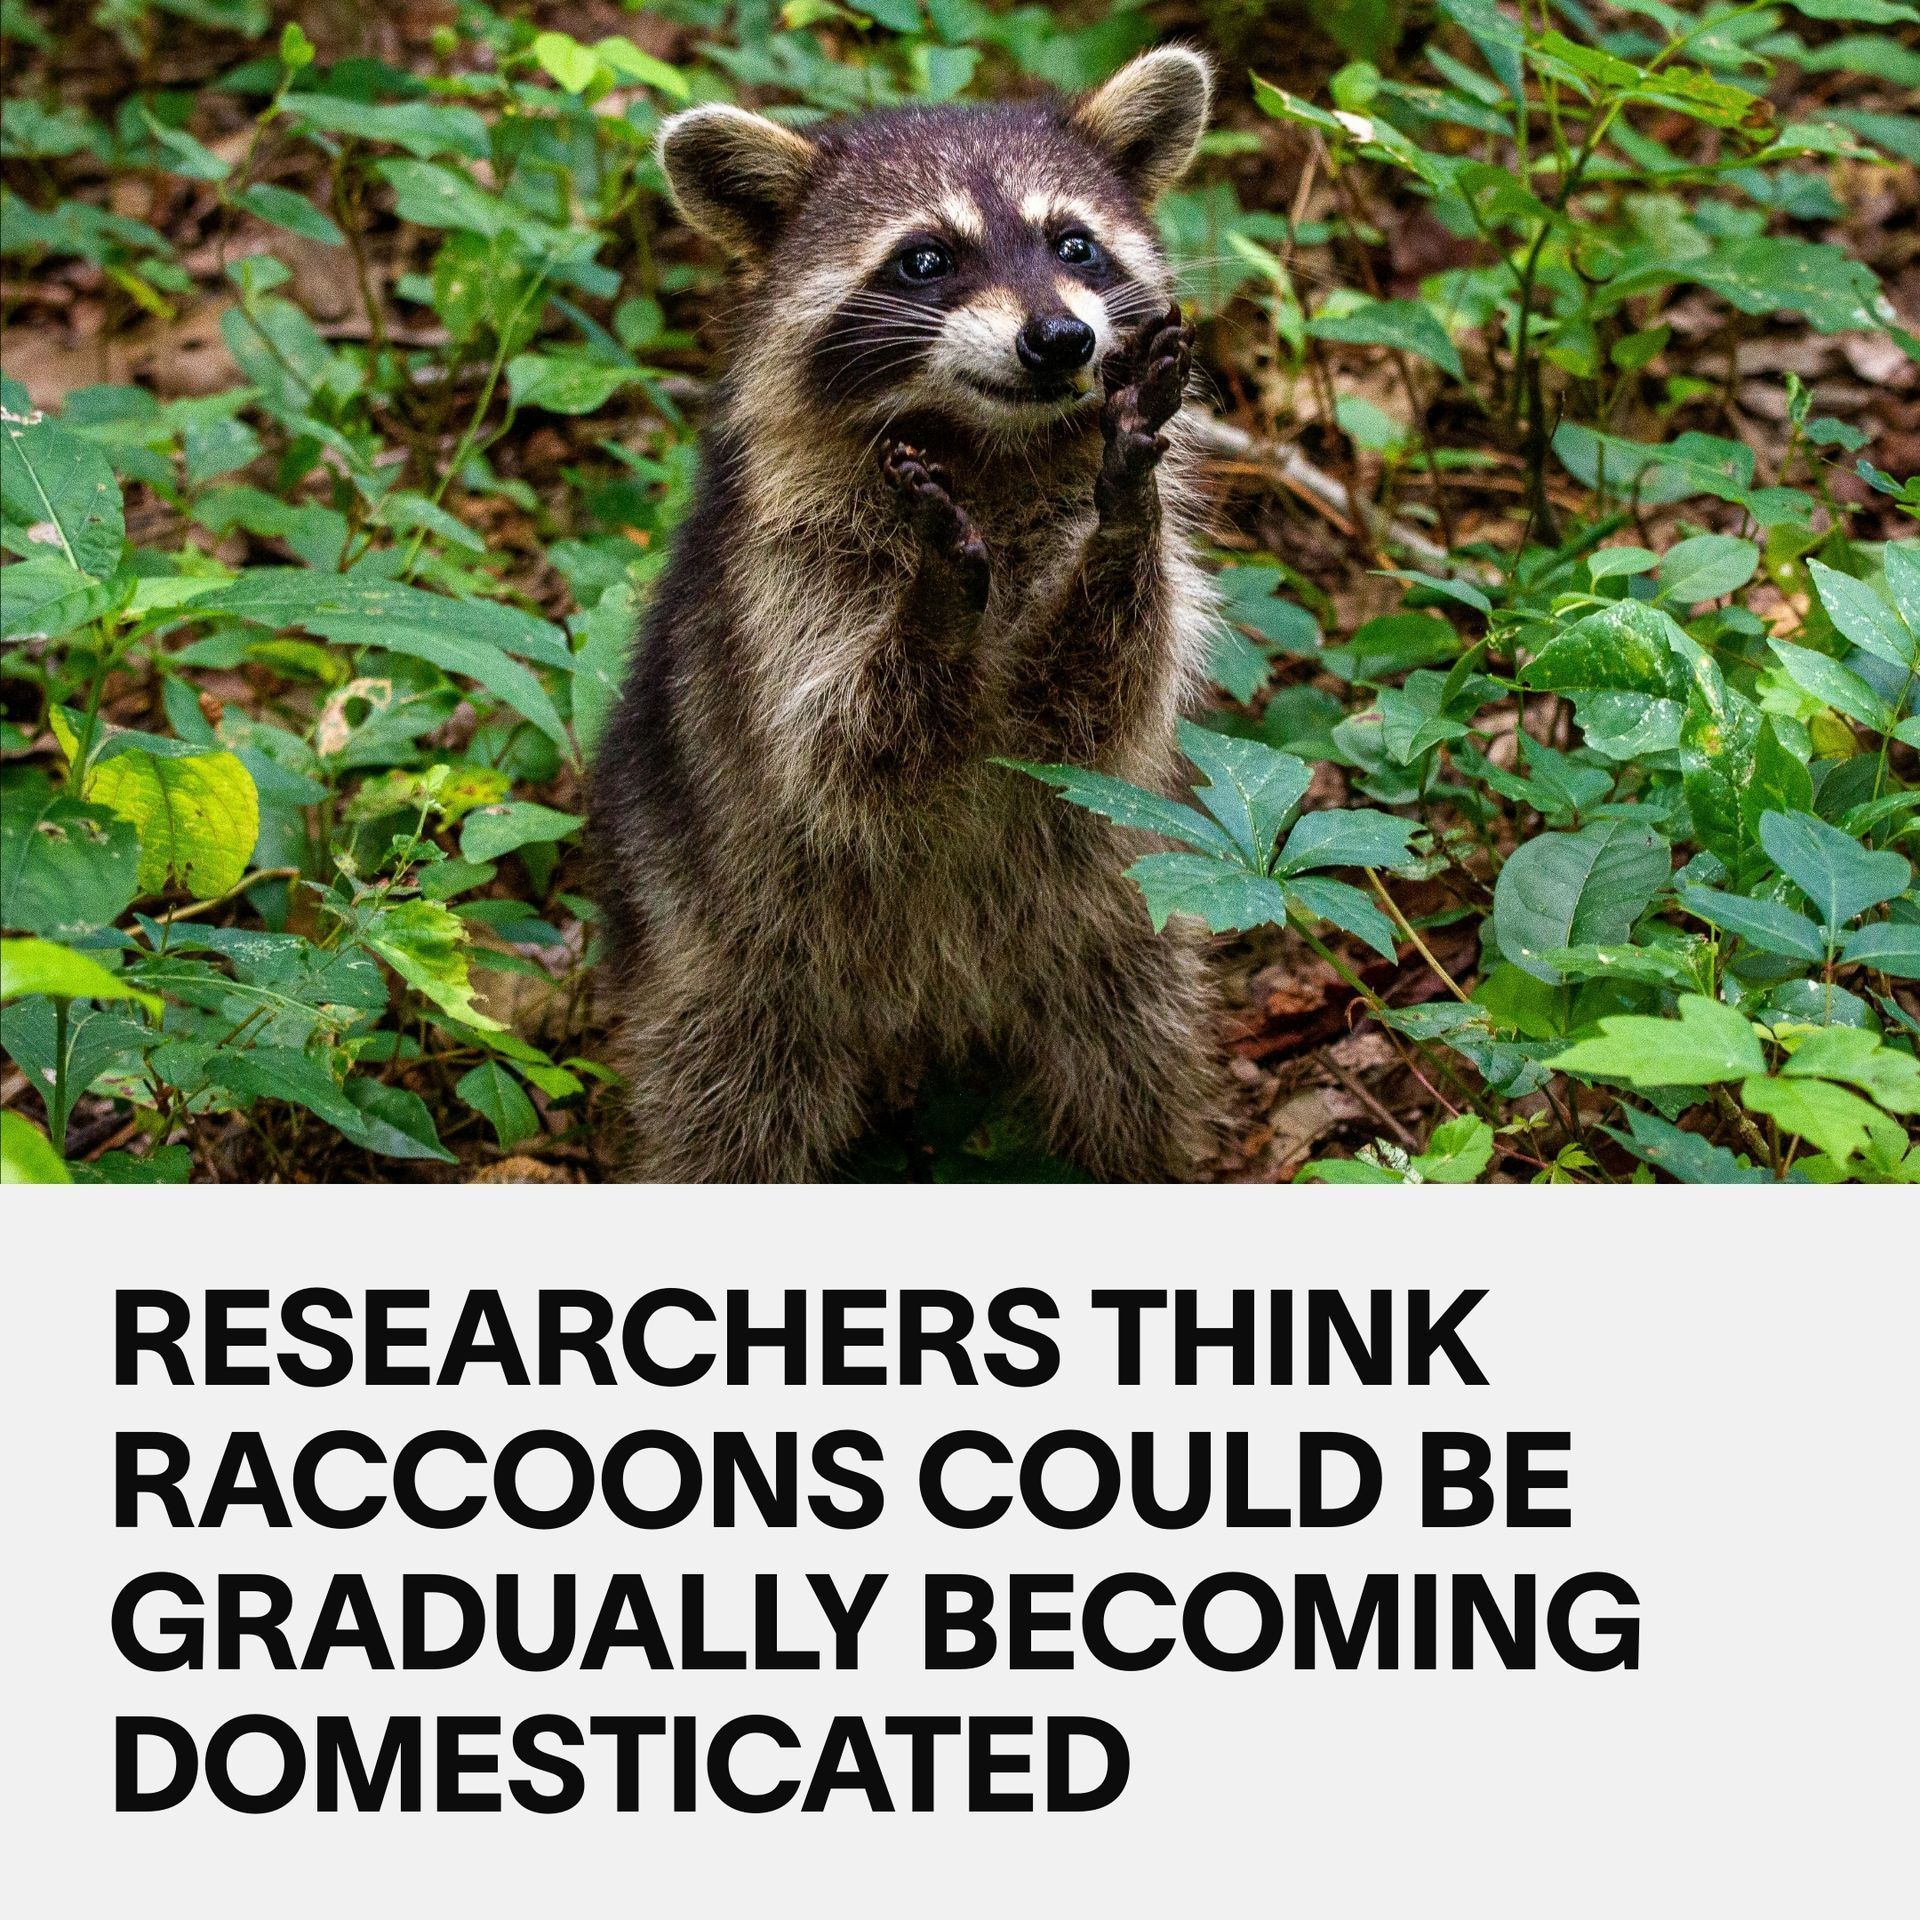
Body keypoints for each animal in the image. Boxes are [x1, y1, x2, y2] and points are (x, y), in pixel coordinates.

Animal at [591, 46, 1224, 1182]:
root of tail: (930, 1019)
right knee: (726, 1115)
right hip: (725, 957)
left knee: (1137, 1064)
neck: (986, 446)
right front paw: (933, 602)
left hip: (1117, 928)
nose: (1061, 339)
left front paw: (1125, 516)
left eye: (1074, 243)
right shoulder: (782, 577)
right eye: (925, 259)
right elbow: (843, 748)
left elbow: (1098, 704)